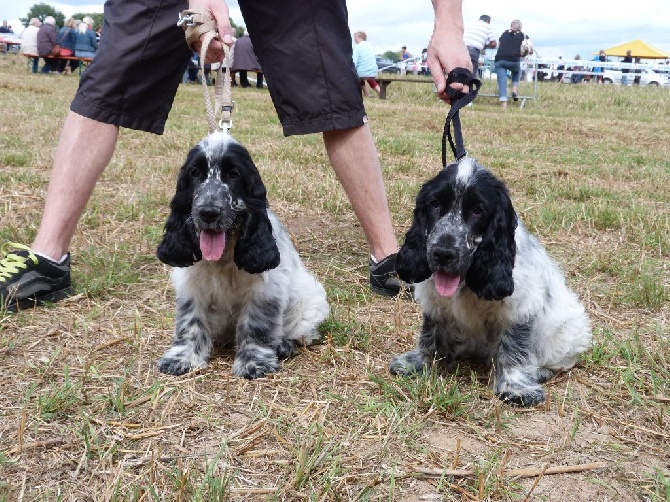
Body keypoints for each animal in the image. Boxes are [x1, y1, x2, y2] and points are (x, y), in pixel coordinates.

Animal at [153, 131, 330, 378]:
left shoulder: (265, 290)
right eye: (195, 173)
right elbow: (190, 321)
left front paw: (254, 362)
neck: (224, 257)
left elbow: (256, 325)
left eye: (233, 174)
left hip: (308, 304)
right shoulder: (191, 286)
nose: (208, 212)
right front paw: (182, 357)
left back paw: (283, 345)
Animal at [392, 159, 592, 406]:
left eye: (478, 210)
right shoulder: (434, 302)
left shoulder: (520, 306)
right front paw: (418, 363)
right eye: (435, 204)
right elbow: (429, 333)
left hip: (567, 331)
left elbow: (514, 346)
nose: (443, 254)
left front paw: (516, 387)